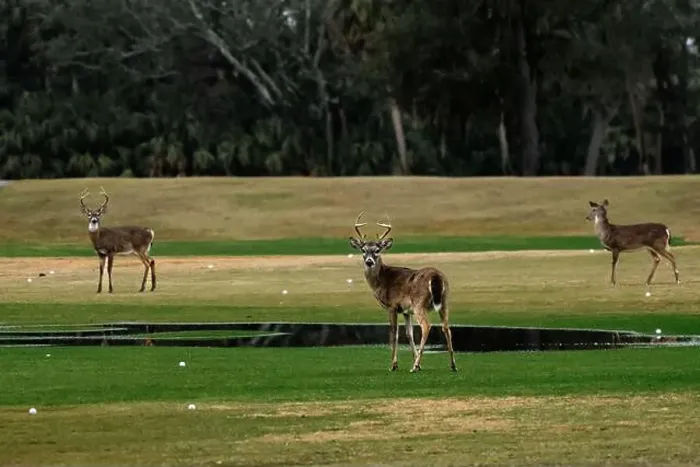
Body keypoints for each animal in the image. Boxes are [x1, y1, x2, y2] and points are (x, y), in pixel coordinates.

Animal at [348, 212, 457, 373]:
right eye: (363, 250)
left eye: (377, 250)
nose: (369, 262)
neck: (381, 280)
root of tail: (436, 276)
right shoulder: (406, 311)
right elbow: (409, 334)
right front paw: (416, 362)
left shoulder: (392, 306)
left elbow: (394, 334)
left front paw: (394, 365)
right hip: (444, 301)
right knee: (446, 327)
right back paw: (453, 365)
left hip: (420, 303)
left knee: (426, 326)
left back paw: (415, 366)